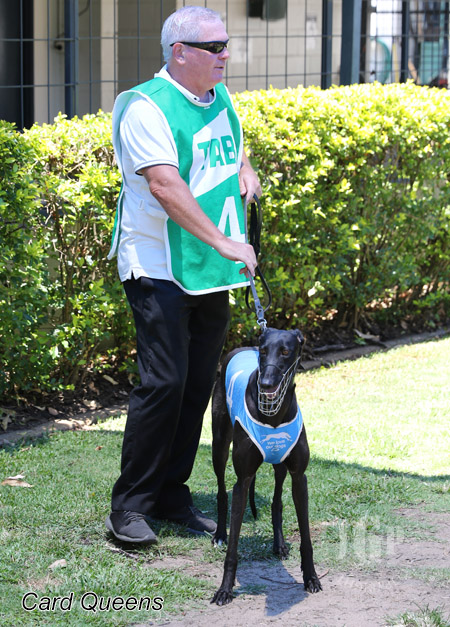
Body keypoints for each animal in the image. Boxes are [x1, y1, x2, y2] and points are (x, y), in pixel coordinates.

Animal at [211, 327, 322, 605]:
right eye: (263, 351)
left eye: (285, 351)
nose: (267, 384)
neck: (274, 415)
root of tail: (240, 348)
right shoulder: (243, 480)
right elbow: (233, 548)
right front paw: (225, 589)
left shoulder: (299, 477)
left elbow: (306, 537)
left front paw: (311, 578)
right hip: (219, 444)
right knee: (221, 491)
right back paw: (219, 534)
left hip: (280, 463)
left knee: (276, 501)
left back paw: (278, 544)